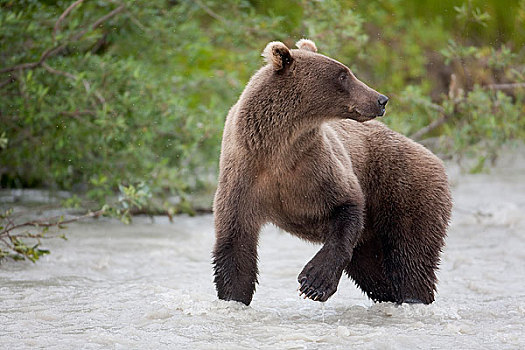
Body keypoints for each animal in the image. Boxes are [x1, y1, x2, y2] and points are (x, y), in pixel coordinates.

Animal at [212, 39, 450, 306]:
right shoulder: (245, 178)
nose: (381, 99)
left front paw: (314, 283)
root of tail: (433, 157)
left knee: (411, 257)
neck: (278, 151)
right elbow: (235, 248)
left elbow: (347, 207)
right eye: (343, 75)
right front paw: (233, 296)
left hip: (404, 190)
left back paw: (413, 296)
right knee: (375, 271)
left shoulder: (318, 169)